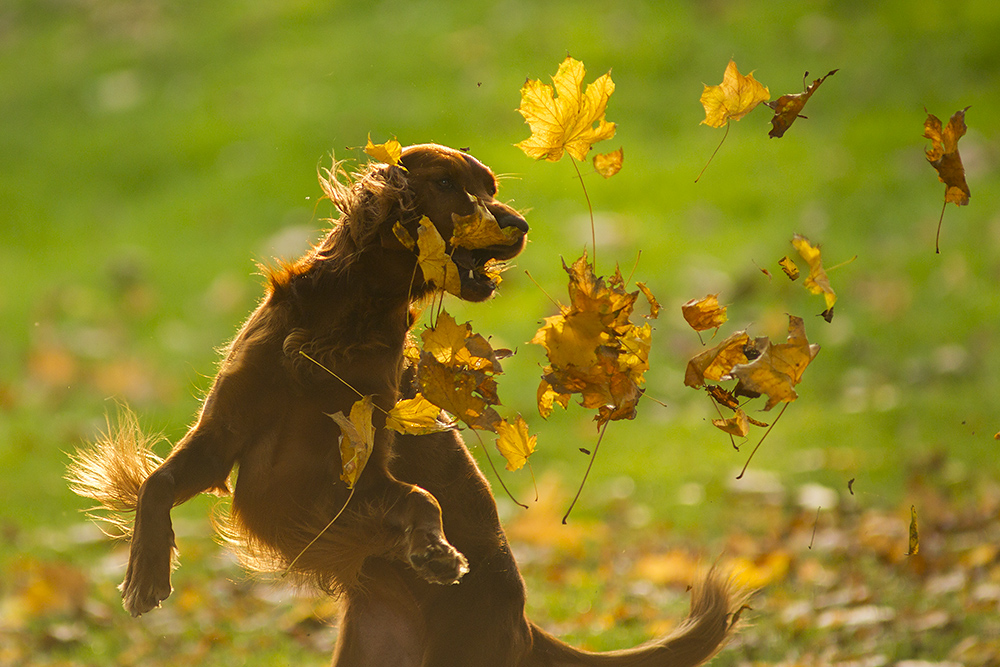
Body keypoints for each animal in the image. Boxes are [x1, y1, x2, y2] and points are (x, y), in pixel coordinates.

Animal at [66, 144, 748, 664]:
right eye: (448, 184)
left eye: (490, 186)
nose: (519, 225)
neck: (338, 326)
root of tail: (525, 625)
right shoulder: (226, 432)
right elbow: (157, 482)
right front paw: (145, 573)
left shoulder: (358, 470)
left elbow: (418, 495)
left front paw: (436, 551)